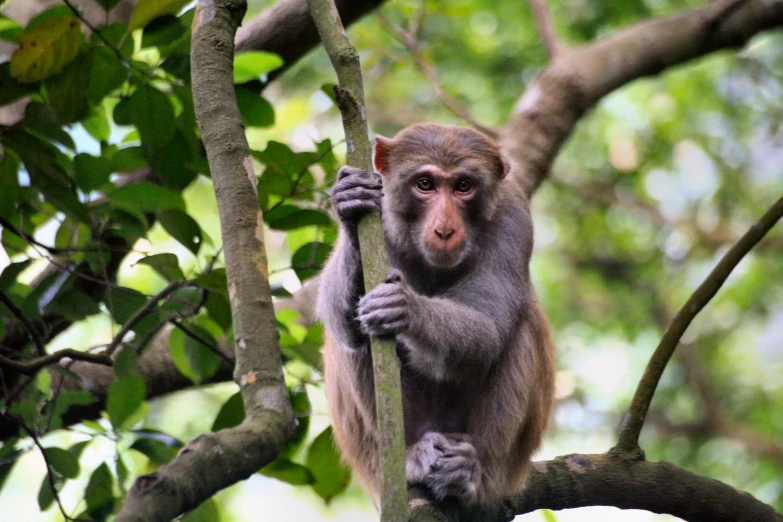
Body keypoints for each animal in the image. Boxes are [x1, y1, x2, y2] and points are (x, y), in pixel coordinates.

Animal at [316, 123, 556, 504]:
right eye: (425, 184)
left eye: (463, 186)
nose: (445, 230)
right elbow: (340, 320)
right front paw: (350, 207)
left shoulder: (514, 219)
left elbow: (488, 333)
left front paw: (407, 308)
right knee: (355, 342)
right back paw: (410, 459)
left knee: (521, 326)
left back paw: (470, 474)